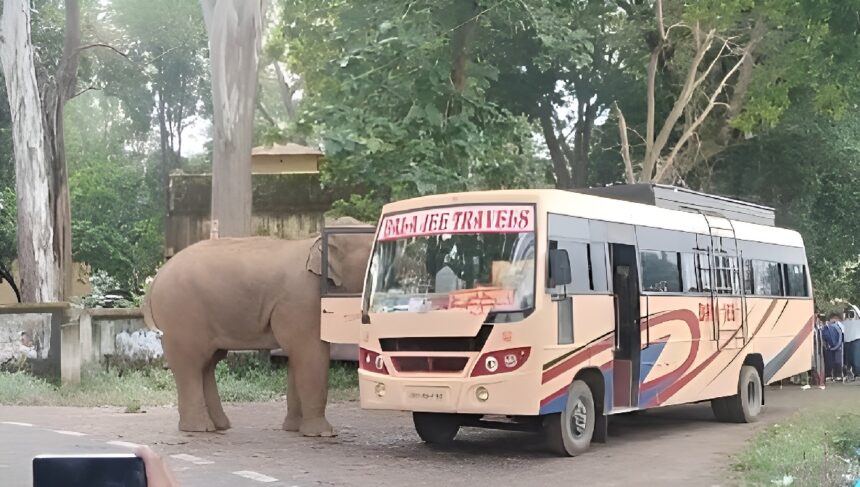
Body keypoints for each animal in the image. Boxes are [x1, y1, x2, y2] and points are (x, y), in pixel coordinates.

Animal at [143, 218, 374, 436]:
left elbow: (297, 356)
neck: (315, 240)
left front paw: (294, 429)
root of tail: (155, 278)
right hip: (180, 315)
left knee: (207, 364)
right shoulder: (301, 300)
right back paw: (200, 428)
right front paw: (323, 433)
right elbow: (310, 353)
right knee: (190, 364)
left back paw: (219, 425)